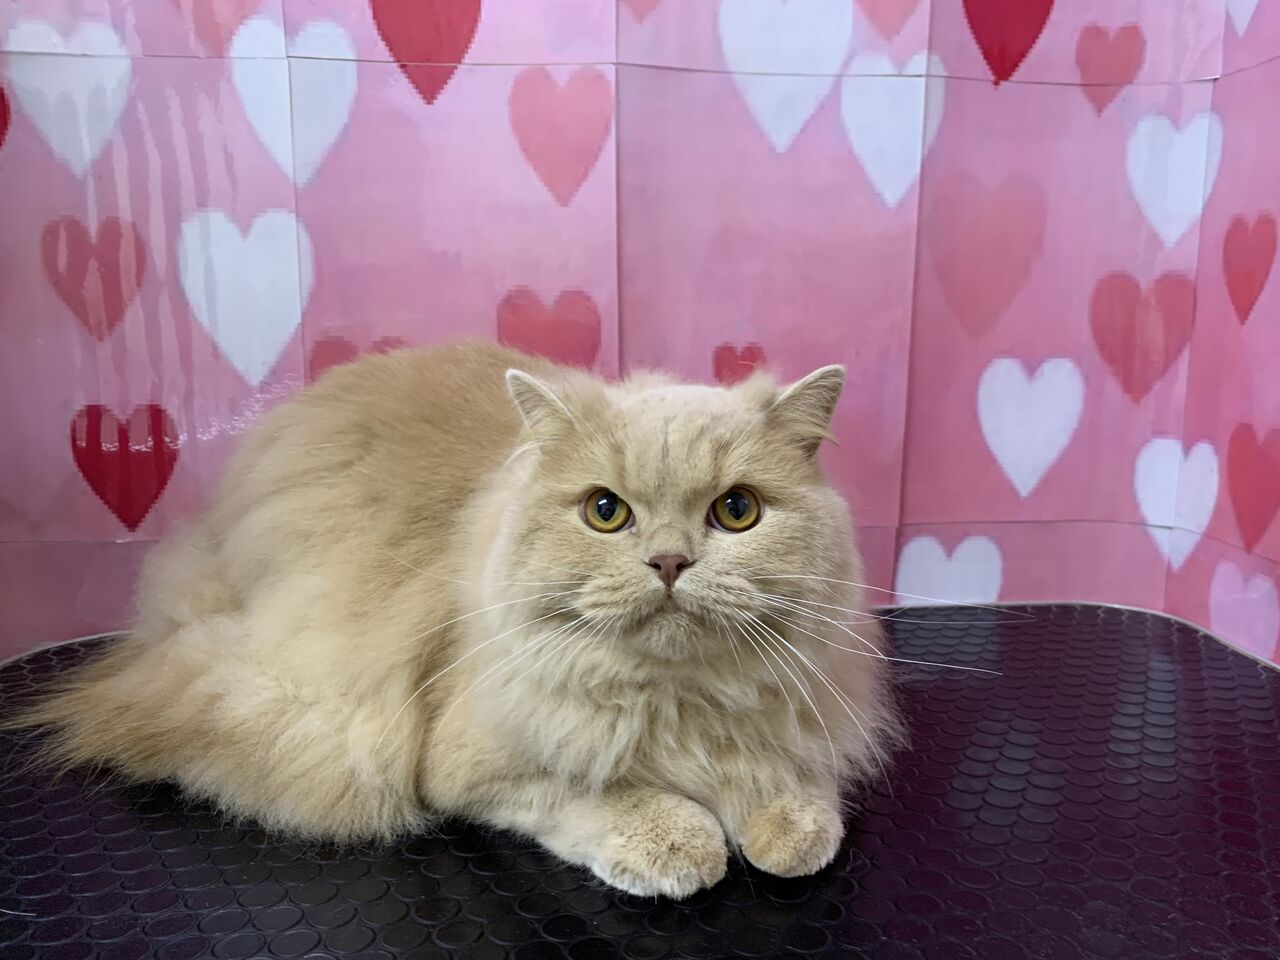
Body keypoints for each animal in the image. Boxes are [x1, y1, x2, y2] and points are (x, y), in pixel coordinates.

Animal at [17, 341, 900, 898]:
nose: (670, 563)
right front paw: (681, 841)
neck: (678, 701)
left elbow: (796, 784)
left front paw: (787, 825)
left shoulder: (808, 709)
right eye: (606, 513)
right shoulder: (465, 763)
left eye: (737, 511)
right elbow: (596, 796)